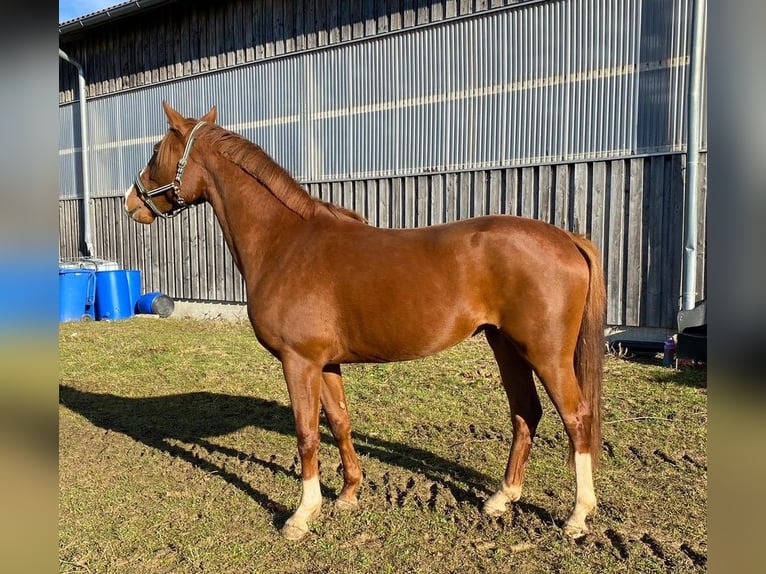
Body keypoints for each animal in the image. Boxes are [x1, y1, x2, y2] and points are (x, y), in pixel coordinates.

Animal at [124, 101, 608, 544]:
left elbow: (306, 433)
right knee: (526, 412)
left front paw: (302, 515)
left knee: (576, 418)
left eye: (155, 150)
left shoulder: (298, 362)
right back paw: (501, 499)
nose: (131, 202)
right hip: (505, 345)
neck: (286, 242)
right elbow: (339, 422)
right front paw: (348, 495)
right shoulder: (326, 363)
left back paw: (578, 515)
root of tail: (568, 238)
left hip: (545, 353)